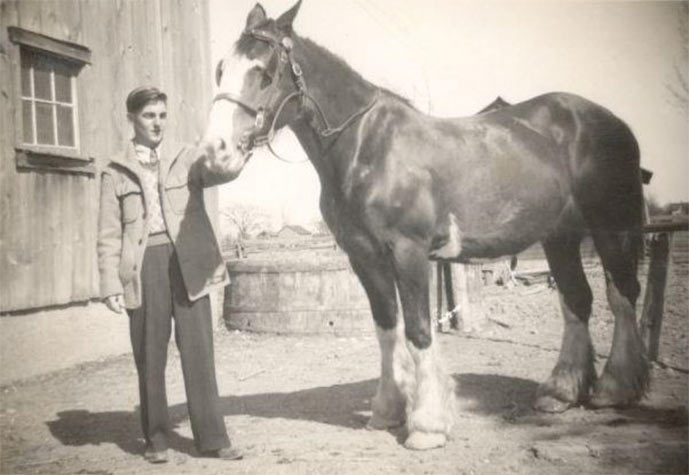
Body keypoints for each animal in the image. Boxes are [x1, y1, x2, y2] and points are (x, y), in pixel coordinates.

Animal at [200, 2, 652, 450]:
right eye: (221, 69)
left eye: (264, 71)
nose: (214, 153)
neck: (368, 147)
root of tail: (612, 123)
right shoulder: (364, 256)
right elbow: (387, 327)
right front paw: (387, 410)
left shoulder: (409, 251)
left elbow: (418, 330)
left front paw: (427, 425)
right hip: (561, 236)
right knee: (577, 300)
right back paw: (560, 393)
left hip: (612, 228)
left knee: (622, 296)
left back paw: (613, 390)